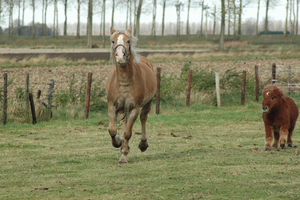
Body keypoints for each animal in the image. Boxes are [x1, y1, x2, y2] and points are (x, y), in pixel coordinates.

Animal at [105, 26, 156, 164]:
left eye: (128, 41)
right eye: (113, 41)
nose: (120, 56)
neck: (124, 82)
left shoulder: (134, 108)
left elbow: (128, 132)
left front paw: (123, 157)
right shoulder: (112, 106)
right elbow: (112, 130)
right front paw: (118, 143)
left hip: (147, 103)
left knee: (143, 118)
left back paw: (143, 144)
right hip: (123, 109)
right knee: (123, 123)